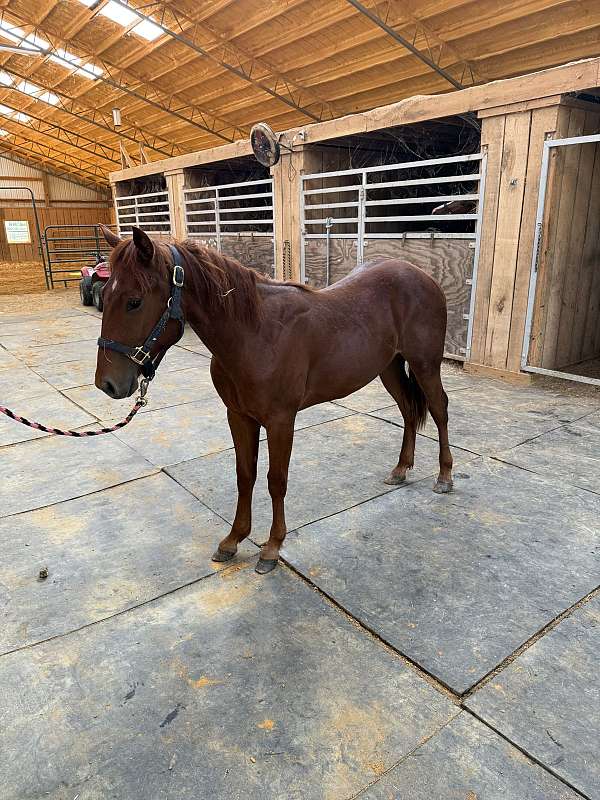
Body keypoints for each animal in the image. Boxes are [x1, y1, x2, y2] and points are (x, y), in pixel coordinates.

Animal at [95, 225, 453, 574]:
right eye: (106, 293)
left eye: (134, 301)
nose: (107, 384)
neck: (256, 334)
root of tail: (422, 275)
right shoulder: (239, 416)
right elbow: (245, 475)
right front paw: (233, 539)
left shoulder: (281, 421)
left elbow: (275, 480)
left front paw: (271, 547)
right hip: (389, 367)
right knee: (408, 411)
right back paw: (401, 469)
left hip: (425, 364)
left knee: (439, 410)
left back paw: (444, 477)